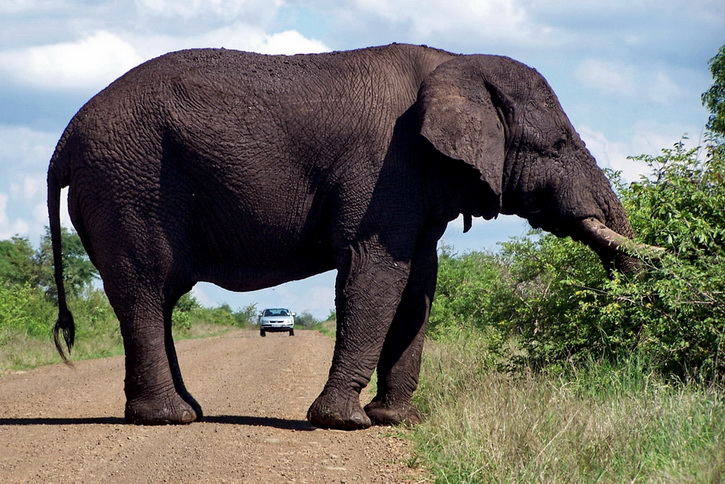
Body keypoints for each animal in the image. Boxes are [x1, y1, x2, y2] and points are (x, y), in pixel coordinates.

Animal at [48, 40, 648, 428]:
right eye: (561, 144)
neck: (455, 64)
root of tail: (65, 138)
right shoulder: (385, 168)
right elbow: (377, 273)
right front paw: (345, 422)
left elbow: (419, 286)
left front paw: (398, 420)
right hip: (128, 187)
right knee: (147, 290)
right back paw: (169, 419)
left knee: (160, 298)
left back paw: (184, 411)